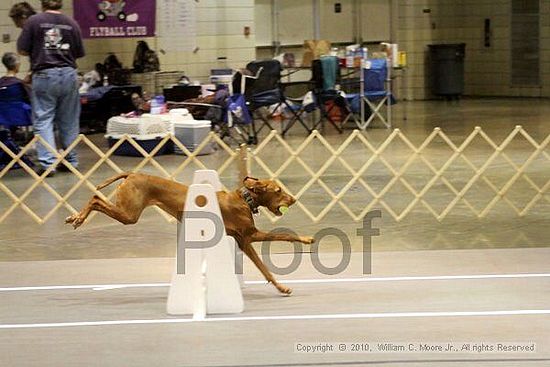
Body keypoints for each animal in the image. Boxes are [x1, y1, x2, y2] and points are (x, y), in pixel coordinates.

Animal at [65, 173, 314, 296]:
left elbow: (265, 266)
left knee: (96, 198)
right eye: (278, 191)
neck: (244, 199)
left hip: (127, 213)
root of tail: (133, 173)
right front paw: (306, 240)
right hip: (129, 214)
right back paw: (77, 218)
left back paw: (75, 217)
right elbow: (281, 243)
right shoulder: (249, 237)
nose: (294, 200)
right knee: (95, 199)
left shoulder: (242, 241)